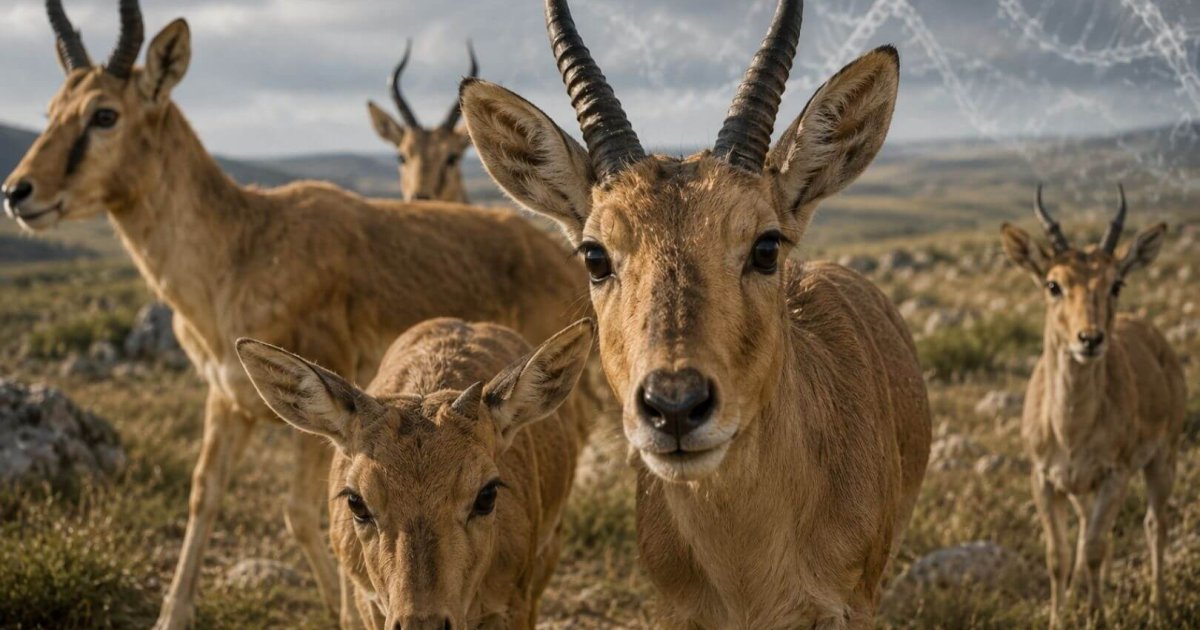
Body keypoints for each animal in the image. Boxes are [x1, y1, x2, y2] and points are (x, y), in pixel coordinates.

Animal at [1001, 186, 1186, 628]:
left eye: (1116, 283)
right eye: (1053, 284)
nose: (1090, 339)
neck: (1069, 429)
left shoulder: (1114, 476)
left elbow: (1095, 550)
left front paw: (1097, 617)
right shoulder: (1044, 479)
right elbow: (1059, 556)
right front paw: (1059, 618)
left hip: (1162, 461)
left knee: (1155, 524)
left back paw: (1157, 605)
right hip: (1080, 490)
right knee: (1086, 531)